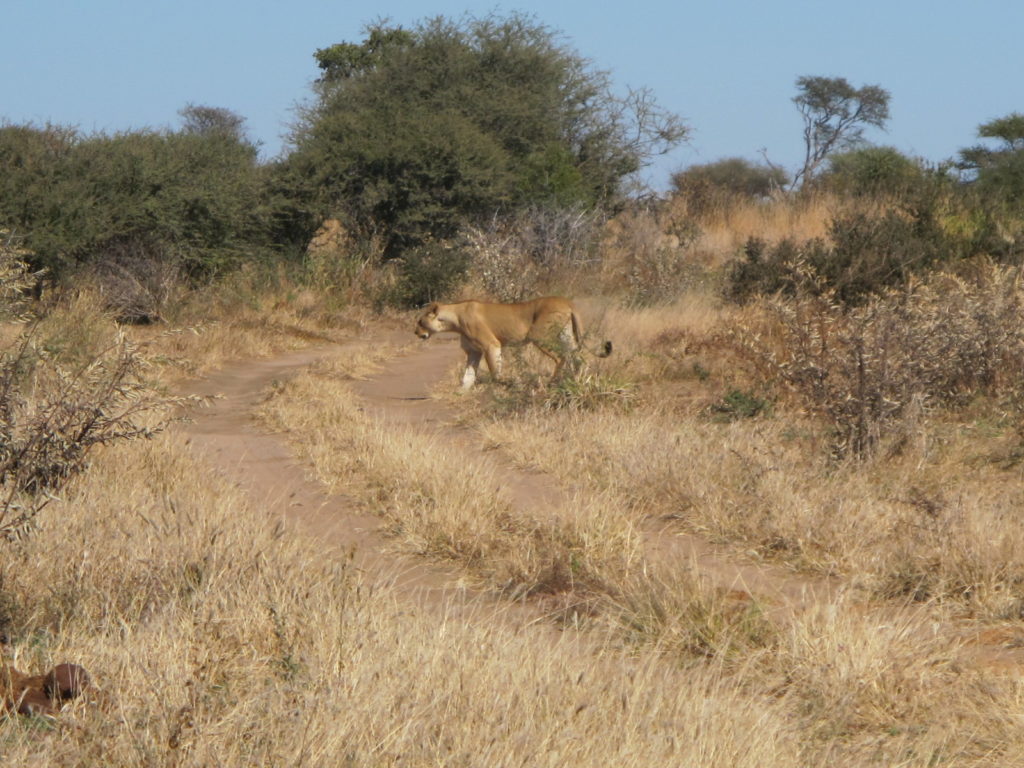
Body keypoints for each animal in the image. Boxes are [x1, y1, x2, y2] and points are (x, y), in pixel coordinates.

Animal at [414, 296, 611, 389]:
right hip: (566, 336)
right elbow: (468, 374)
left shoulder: (491, 344)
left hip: (539, 336)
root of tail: (567, 301)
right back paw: (578, 379)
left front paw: (506, 383)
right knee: (576, 357)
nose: (415, 332)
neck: (454, 319)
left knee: (560, 358)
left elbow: (495, 371)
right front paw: (462, 391)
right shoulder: (473, 351)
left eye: (420, 322)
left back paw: (551, 382)